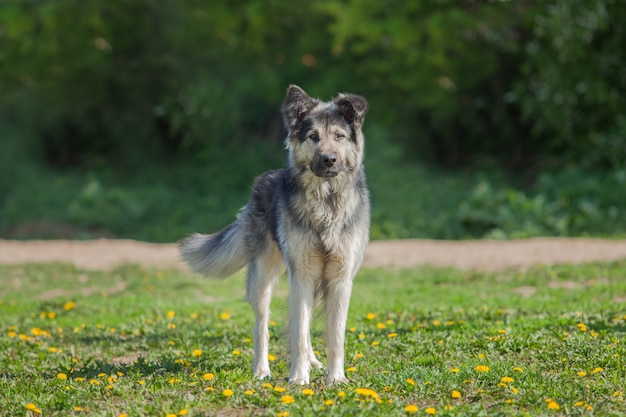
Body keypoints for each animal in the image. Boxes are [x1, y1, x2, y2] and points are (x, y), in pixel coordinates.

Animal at [178, 84, 368, 384]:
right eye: (313, 137)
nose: (328, 160)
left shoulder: (339, 278)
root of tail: (261, 181)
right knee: (262, 327)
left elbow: (334, 336)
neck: (325, 201)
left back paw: (313, 362)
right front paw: (298, 378)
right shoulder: (301, 273)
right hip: (264, 279)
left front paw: (336, 378)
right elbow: (298, 333)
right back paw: (261, 370)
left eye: (339, 136)